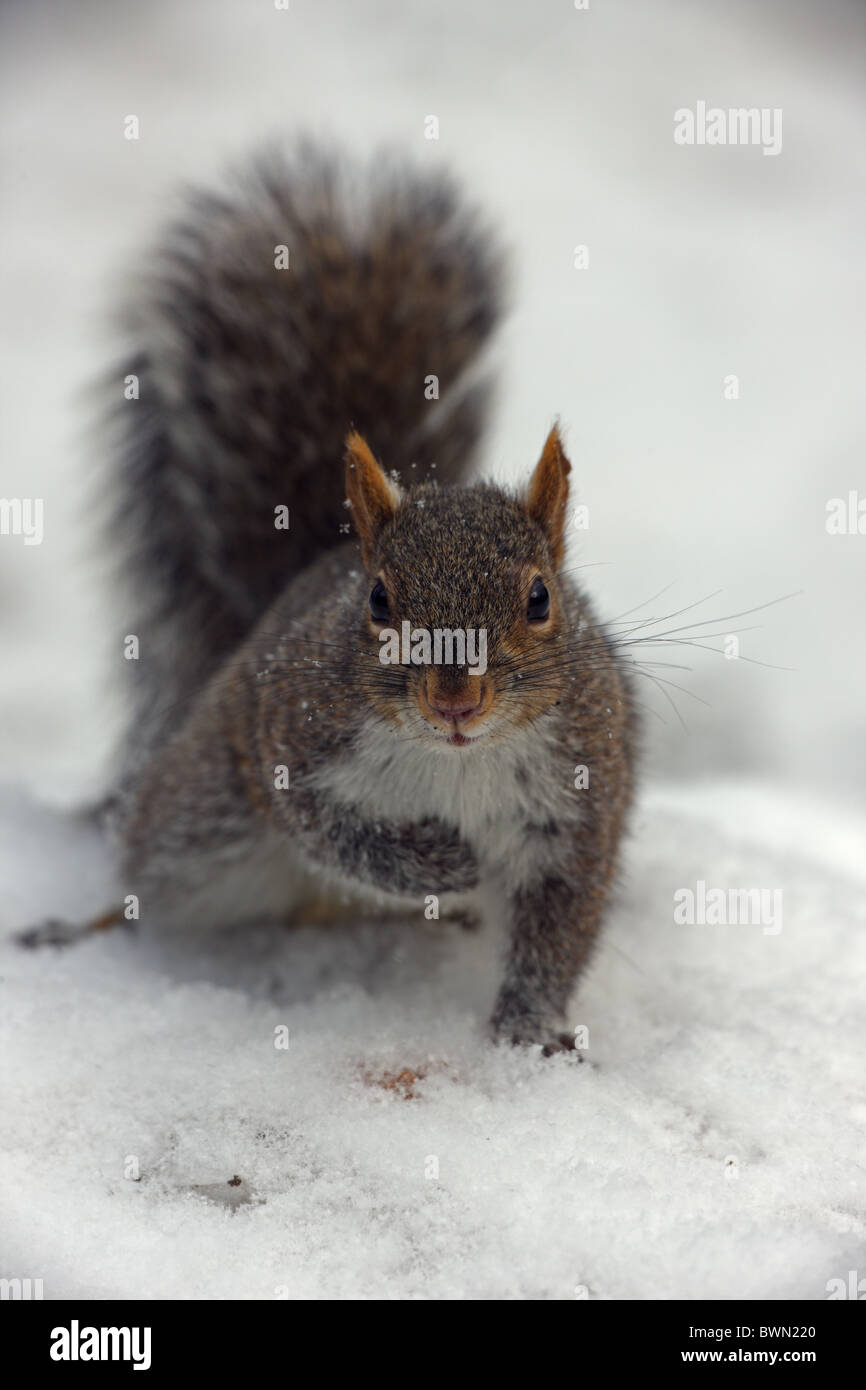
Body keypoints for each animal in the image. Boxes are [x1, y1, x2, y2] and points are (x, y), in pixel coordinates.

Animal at [24, 143, 638, 1054]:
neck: (457, 760)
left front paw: (528, 1031)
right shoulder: (289, 735)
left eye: (539, 599)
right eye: (378, 601)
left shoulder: (580, 802)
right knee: (147, 872)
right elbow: (336, 834)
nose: (455, 702)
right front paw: (442, 864)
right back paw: (80, 928)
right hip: (200, 816)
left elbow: (560, 926)